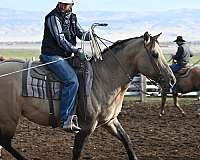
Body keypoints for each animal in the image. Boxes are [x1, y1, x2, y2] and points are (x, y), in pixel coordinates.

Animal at [0, 31, 175, 159]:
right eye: (155, 54)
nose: (172, 80)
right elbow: (77, 151)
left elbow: (127, 140)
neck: (103, 79)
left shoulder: (110, 121)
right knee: (6, 142)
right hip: (9, 118)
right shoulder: (86, 127)